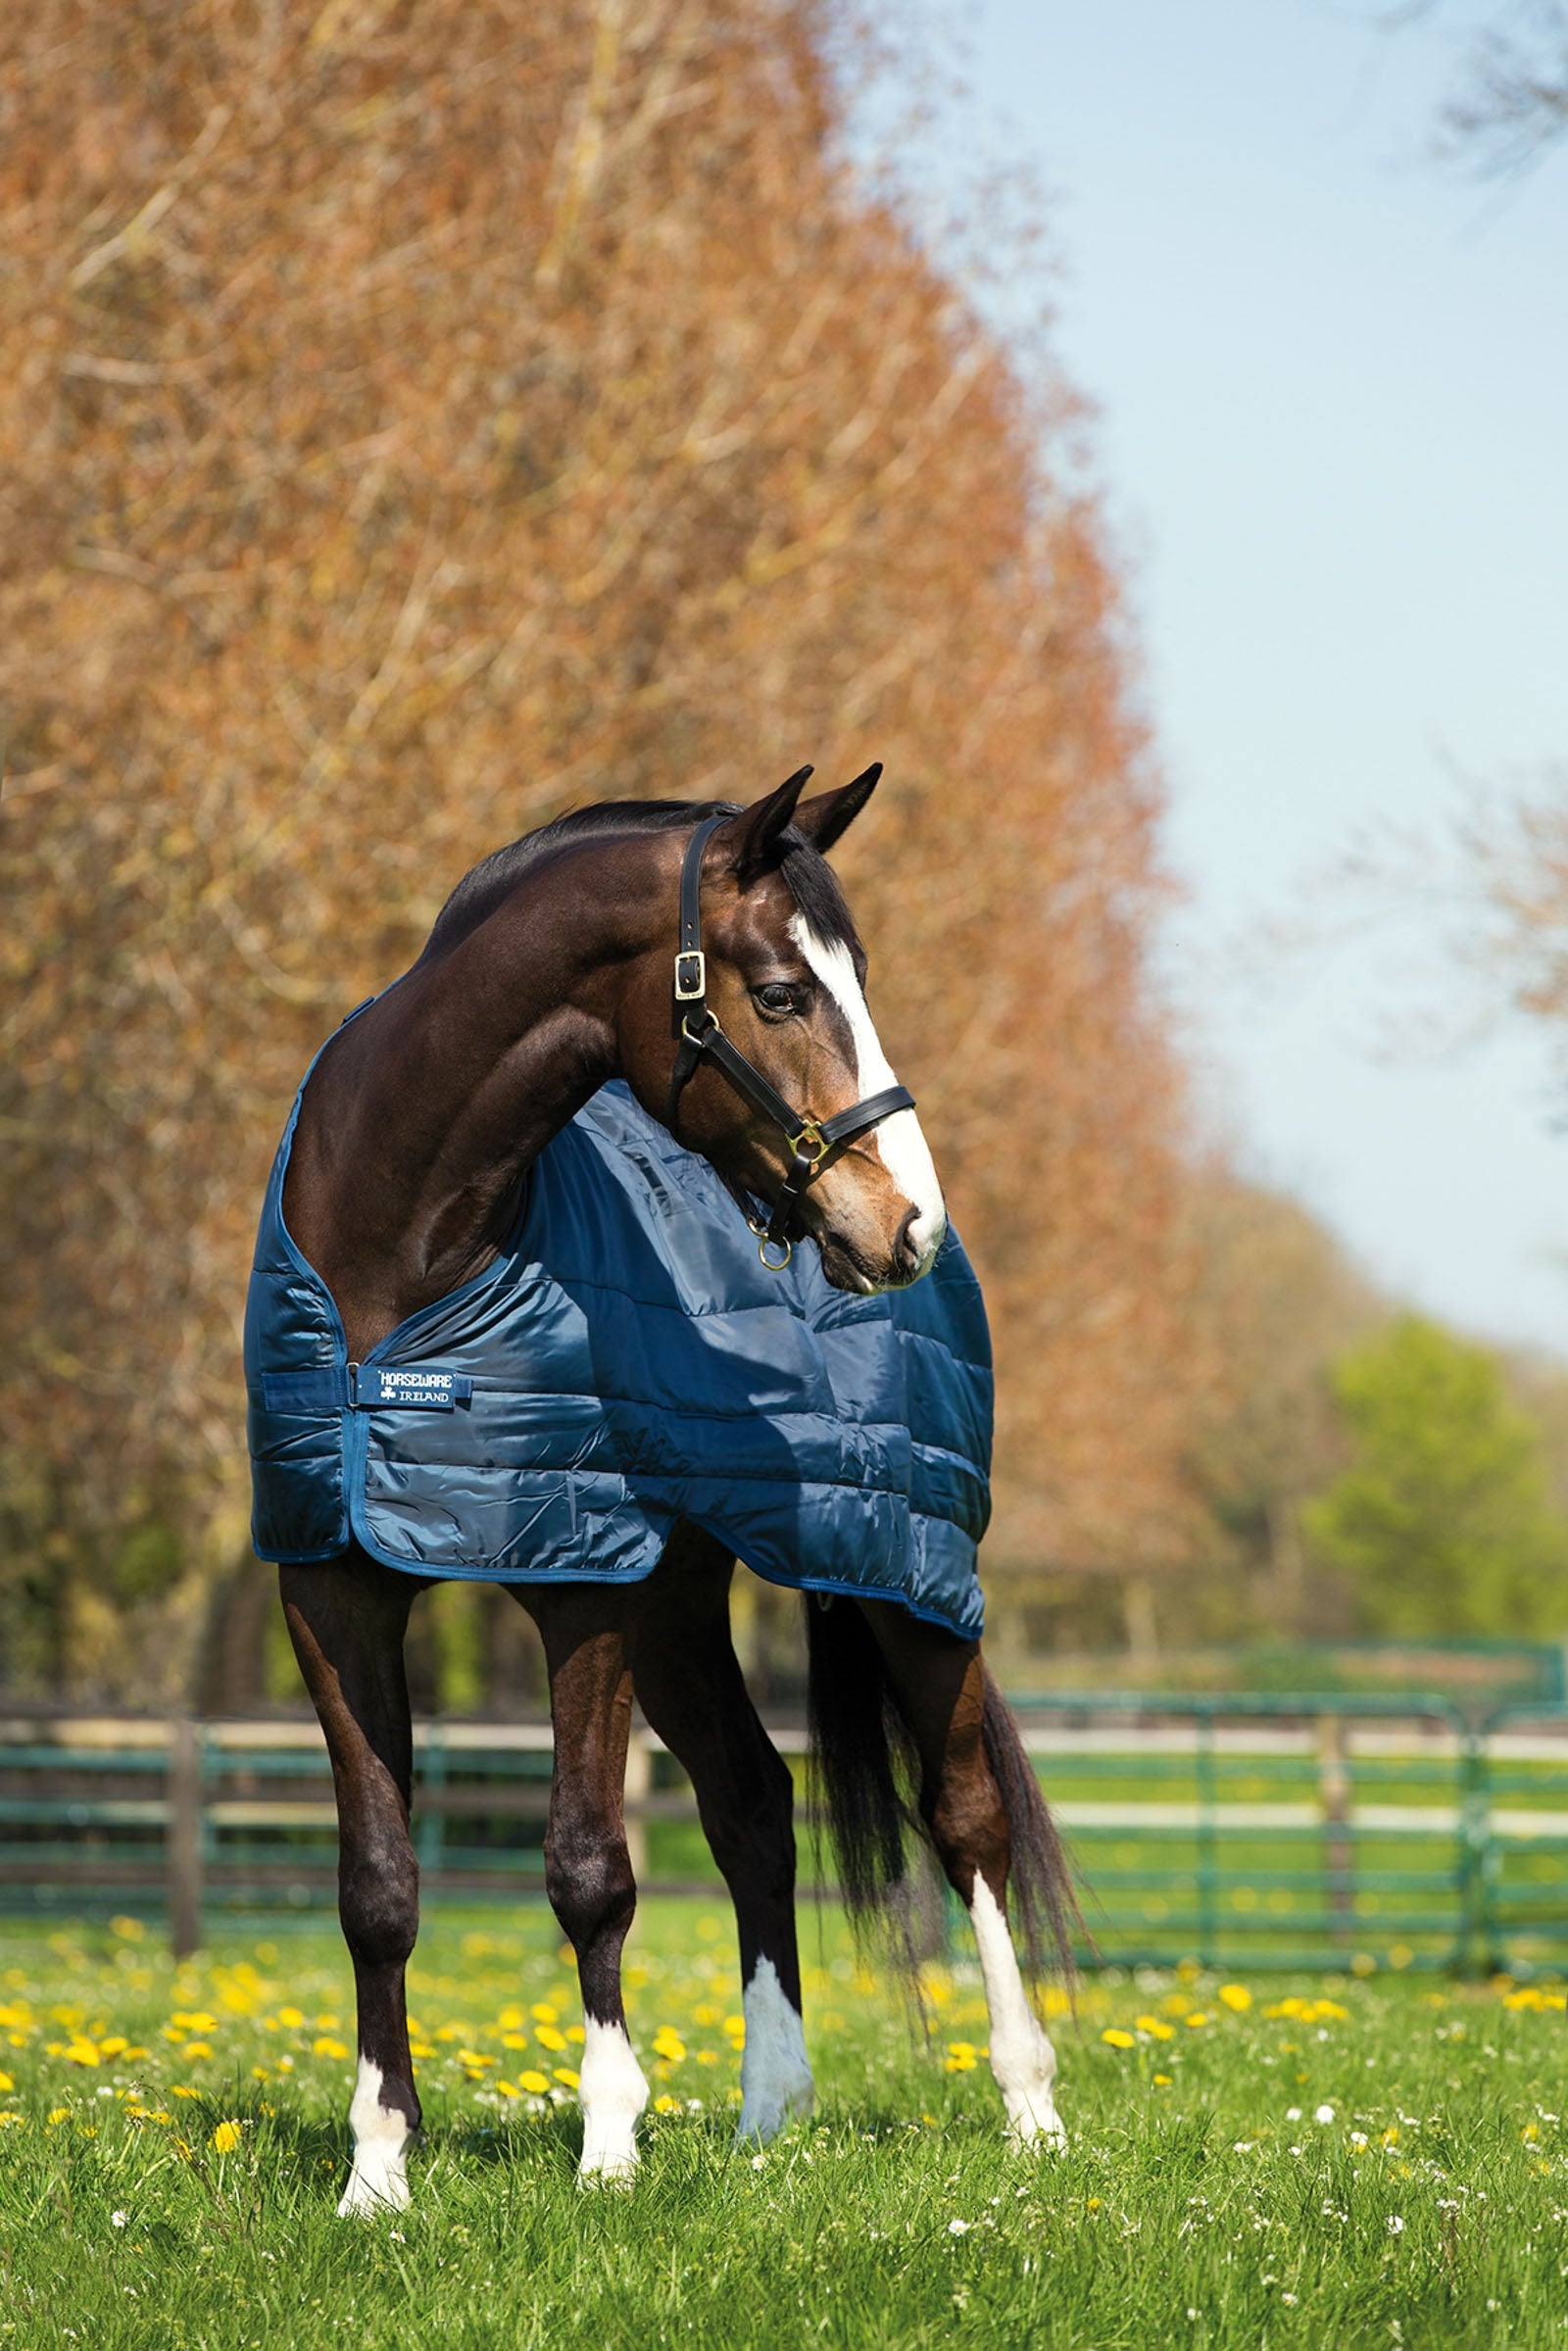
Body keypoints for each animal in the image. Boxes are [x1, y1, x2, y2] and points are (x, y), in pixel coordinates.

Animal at [246, 765, 1075, 2214]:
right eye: (784, 992)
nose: (906, 1223)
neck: (402, 1259)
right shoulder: (333, 1583)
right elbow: (377, 1882)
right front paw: (378, 2170)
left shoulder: (582, 1583)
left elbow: (588, 1864)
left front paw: (609, 2149)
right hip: (684, 1608)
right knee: (753, 1805)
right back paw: (768, 2112)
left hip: (906, 1569)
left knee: (966, 1818)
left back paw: (1028, 2106)